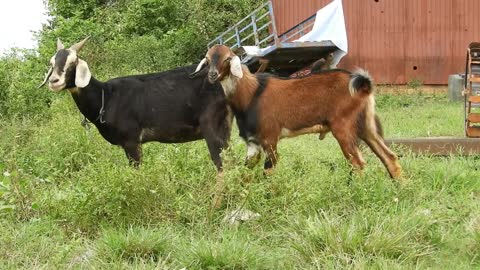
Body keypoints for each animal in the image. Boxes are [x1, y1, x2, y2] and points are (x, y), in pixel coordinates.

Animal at [39, 37, 231, 172]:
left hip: (211, 124)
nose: (54, 81)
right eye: (51, 63)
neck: (106, 97)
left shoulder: (131, 140)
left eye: (73, 62)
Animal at [195, 44, 402, 179]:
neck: (251, 93)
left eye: (227, 59)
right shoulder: (253, 143)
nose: (212, 74)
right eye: (208, 59)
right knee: (389, 157)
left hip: (343, 126)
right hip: (366, 125)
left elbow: (268, 173)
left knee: (358, 164)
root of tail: (363, 85)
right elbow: (245, 172)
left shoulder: (270, 139)